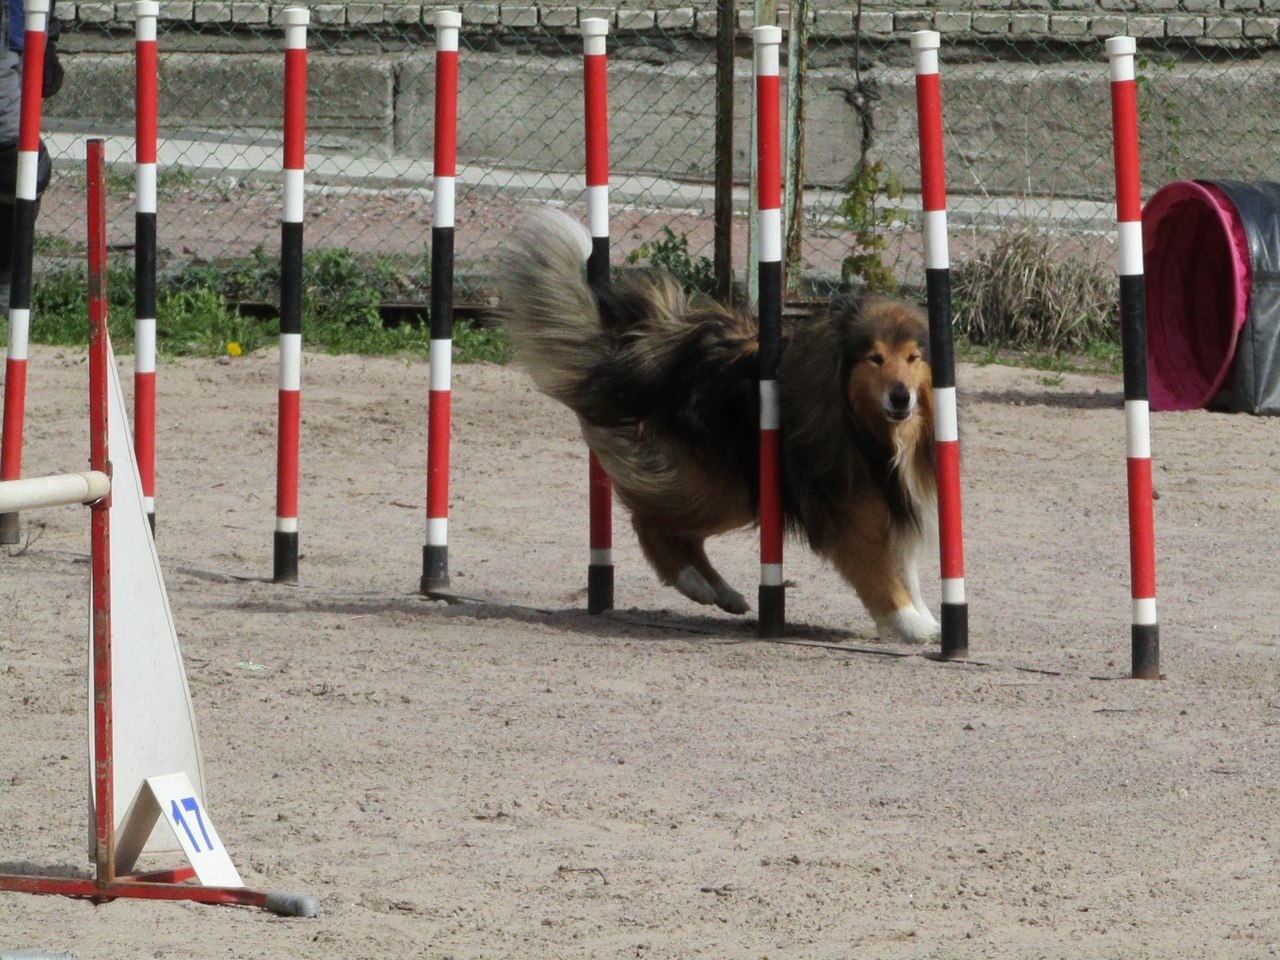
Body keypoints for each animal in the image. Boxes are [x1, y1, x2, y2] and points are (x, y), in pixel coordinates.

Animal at [491, 212, 942, 647]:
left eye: (914, 357)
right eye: (875, 358)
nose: (901, 398)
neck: (869, 427)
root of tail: (639, 353)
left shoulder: (895, 501)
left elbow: (905, 570)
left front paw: (926, 618)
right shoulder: (845, 509)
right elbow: (878, 571)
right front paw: (911, 624)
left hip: (735, 487)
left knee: (683, 533)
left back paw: (722, 591)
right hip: (720, 485)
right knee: (650, 522)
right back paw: (694, 583)